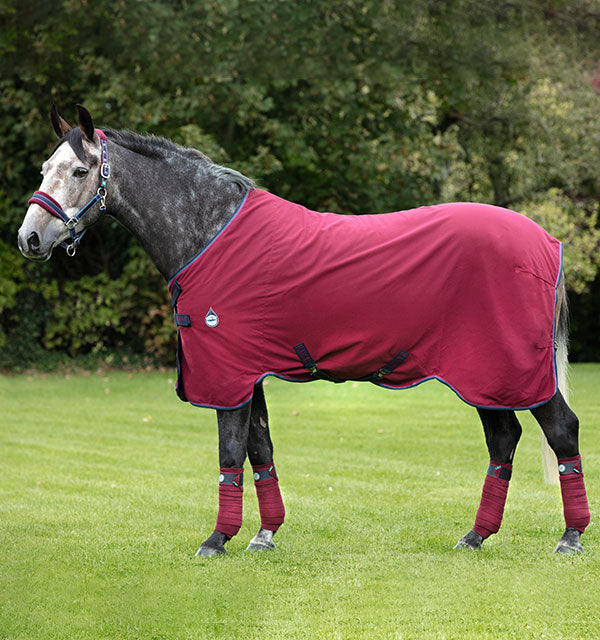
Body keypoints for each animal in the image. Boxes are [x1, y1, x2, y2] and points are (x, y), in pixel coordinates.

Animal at [17, 105, 590, 556]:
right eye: (45, 168)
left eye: (80, 169)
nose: (29, 238)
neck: (209, 232)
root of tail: (547, 241)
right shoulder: (248, 374)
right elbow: (260, 451)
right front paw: (264, 535)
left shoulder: (227, 374)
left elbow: (230, 454)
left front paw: (216, 540)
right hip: (485, 376)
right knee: (504, 439)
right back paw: (475, 536)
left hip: (513, 371)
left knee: (560, 431)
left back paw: (570, 537)